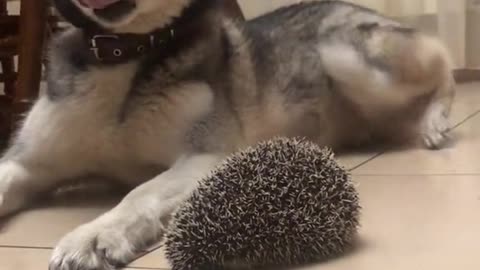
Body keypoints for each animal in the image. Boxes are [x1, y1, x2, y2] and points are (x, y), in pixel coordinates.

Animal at [0, 0, 454, 268]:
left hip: (346, 56)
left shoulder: (206, 156)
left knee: (443, 61)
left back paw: (435, 120)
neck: (123, 51)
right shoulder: (28, 161)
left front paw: (94, 234)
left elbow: (139, 193)